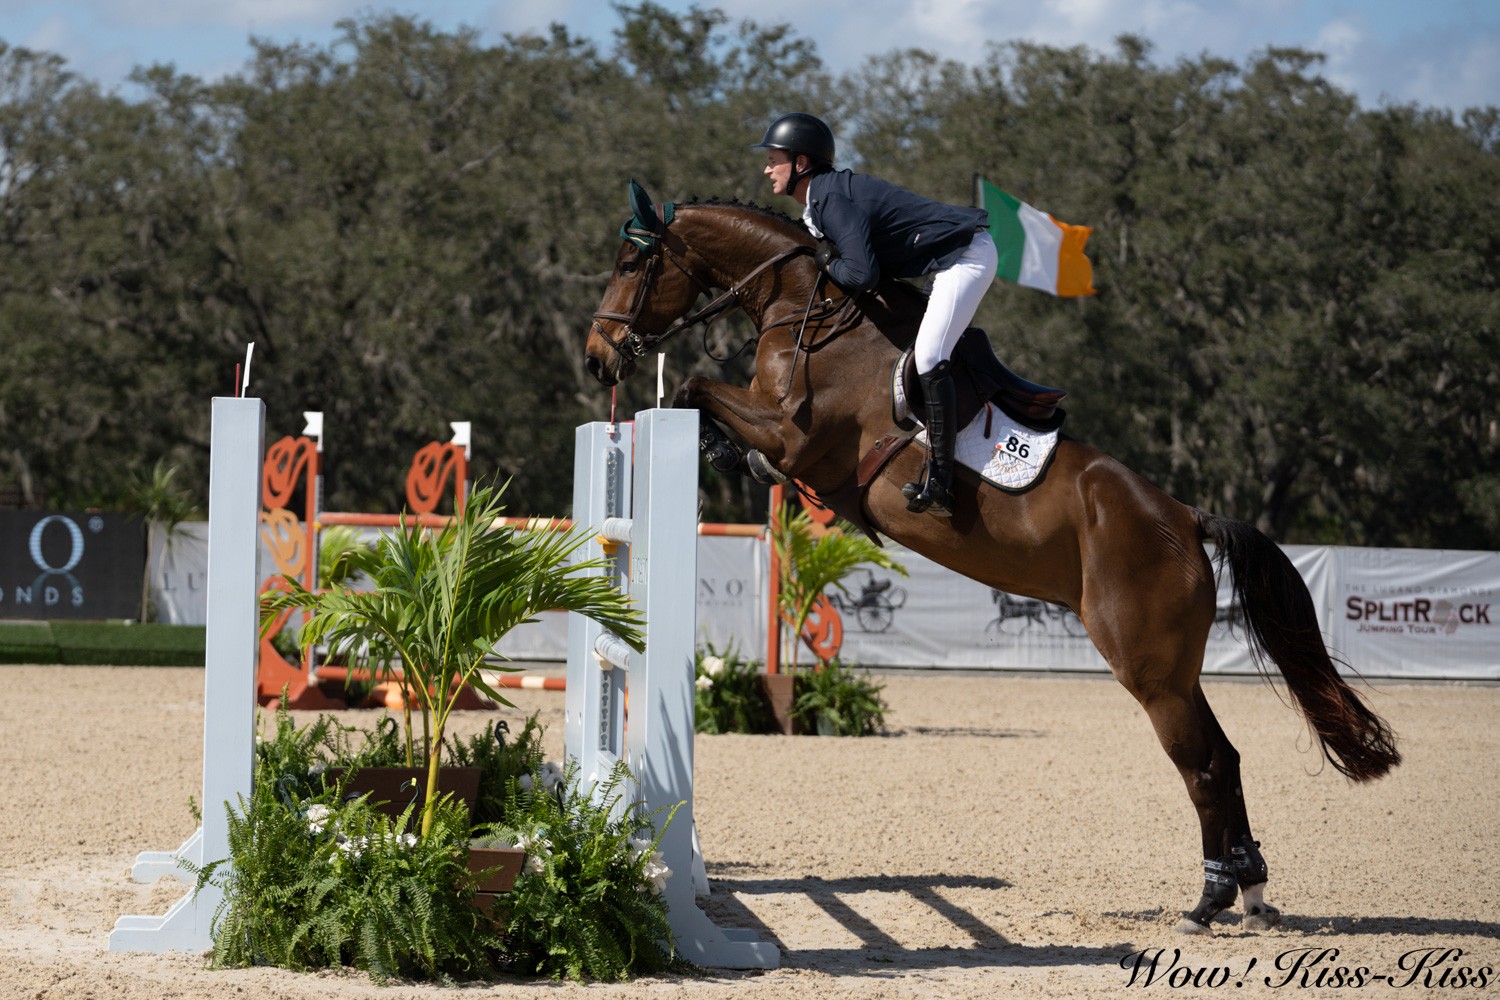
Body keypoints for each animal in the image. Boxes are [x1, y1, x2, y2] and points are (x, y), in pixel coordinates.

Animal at [584, 182, 1401, 934]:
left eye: (630, 262)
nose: (597, 359)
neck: (808, 312)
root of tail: (1184, 518)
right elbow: (709, 399)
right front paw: (725, 451)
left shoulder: (795, 435)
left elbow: (698, 387)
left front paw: (721, 445)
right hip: (1173, 667)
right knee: (1223, 759)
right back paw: (1250, 893)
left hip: (1148, 667)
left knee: (1201, 765)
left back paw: (1205, 903)